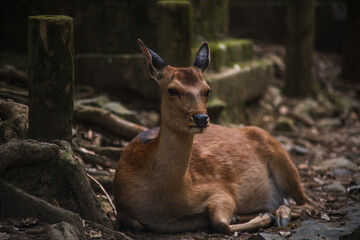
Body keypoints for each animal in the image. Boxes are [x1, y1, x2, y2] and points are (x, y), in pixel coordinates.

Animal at [114, 39, 314, 234]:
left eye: (208, 90)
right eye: (172, 90)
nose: (201, 118)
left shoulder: (220, 191)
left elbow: (220, 224)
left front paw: (263, 217)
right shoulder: (121, 207)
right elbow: (135, 224)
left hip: (283, 159)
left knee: (307, 203)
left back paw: (280, 215)